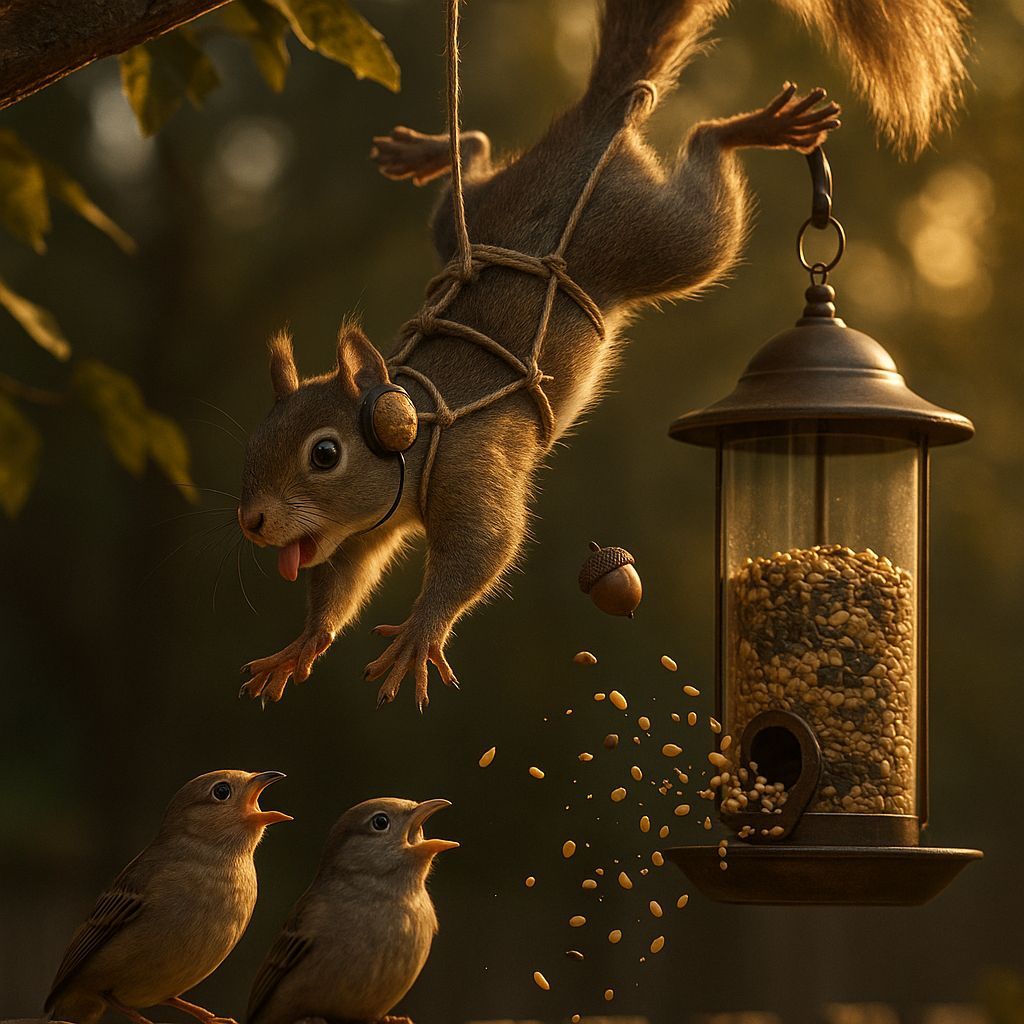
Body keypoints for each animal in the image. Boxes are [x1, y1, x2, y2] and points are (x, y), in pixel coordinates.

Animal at [237, 0, 969, 710]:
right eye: (254, 442)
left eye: (325, 454)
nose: (252, 523)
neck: (421, 420)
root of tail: (595, 120)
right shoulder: (361, 530)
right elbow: (339, 581)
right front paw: (300, 647)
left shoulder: (473, 461)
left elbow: (482, 548)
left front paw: (420, 634)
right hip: (465, 217)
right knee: (476, 157)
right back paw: (433, 149)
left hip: (664, 239)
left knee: (703, 157)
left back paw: (749, 127)